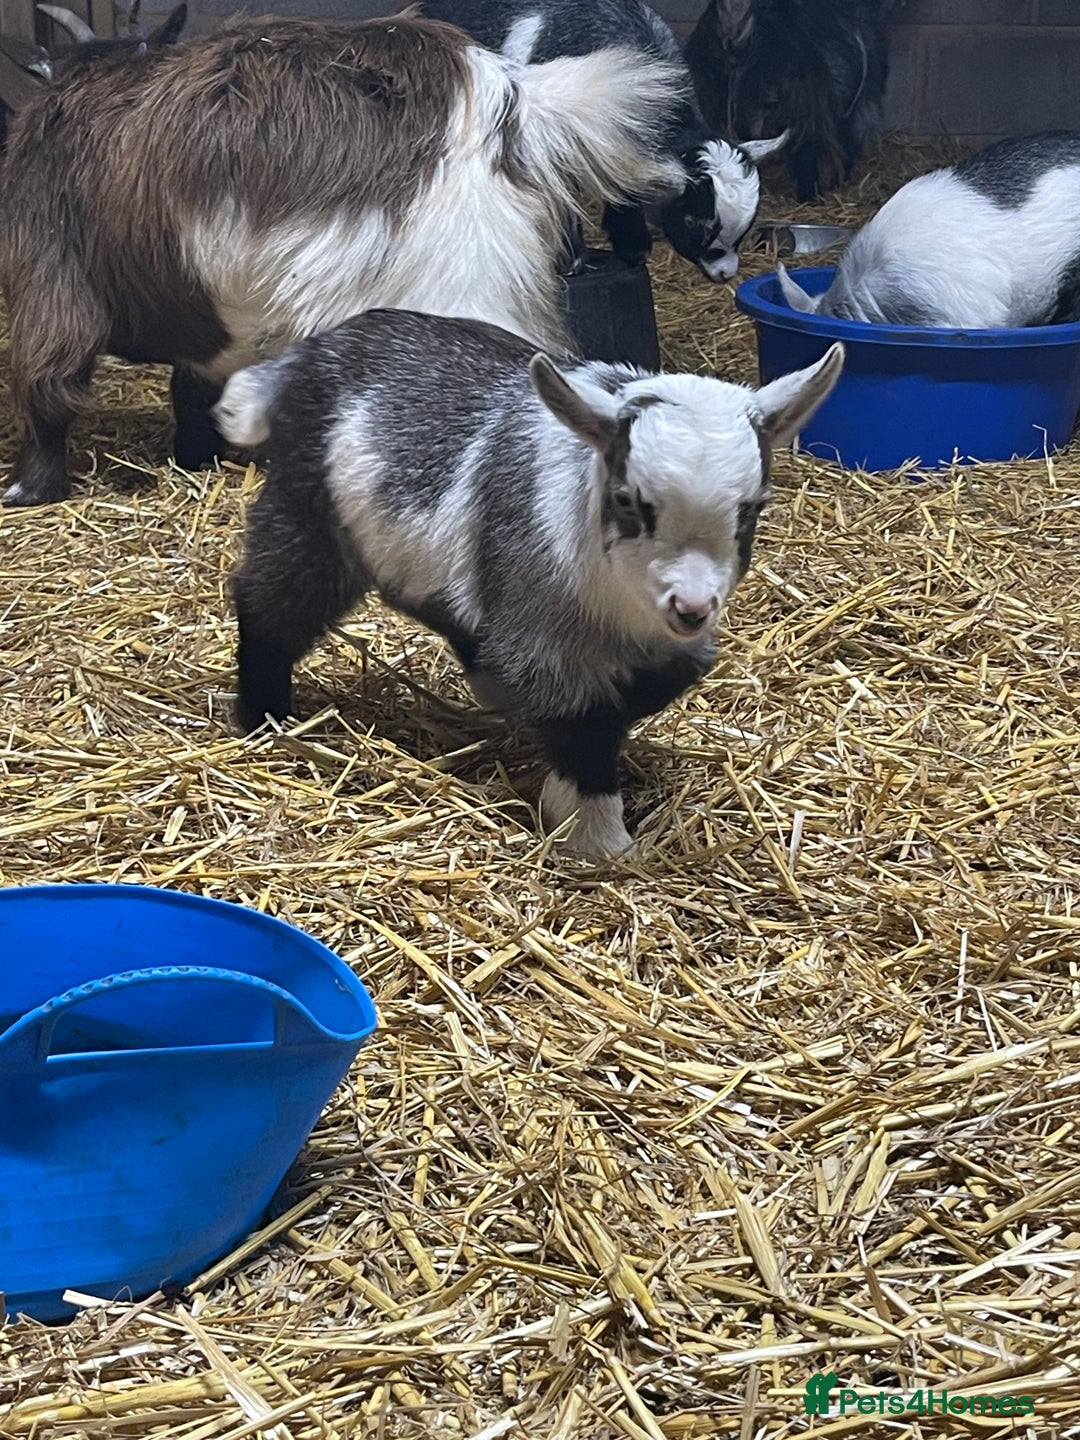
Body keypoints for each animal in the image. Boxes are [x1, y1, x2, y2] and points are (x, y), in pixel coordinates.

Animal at [0, 11, 684, 508]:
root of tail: (507, 99)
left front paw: (28, 491)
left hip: (451, 282)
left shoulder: (49, 273)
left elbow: (48, 387)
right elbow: (190, 386)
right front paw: (195, 455)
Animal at [214, 309, 844, 858]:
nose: (690, 605)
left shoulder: (667, 643)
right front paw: (594, 833)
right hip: (308, 507)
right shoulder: (543, 633)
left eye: (752, 509)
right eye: (626, 501)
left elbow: (652, 686)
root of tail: (304, 356)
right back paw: (265, 717)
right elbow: (582, 719)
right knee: (269, 600)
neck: (621, 610)